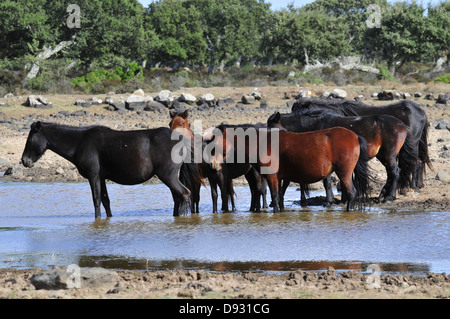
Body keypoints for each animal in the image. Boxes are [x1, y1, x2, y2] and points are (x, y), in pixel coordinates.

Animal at [21, 121, 192, 219]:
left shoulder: (93, 175)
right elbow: (106, 201)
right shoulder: (101, 177)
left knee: (184, 194)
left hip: (167, 175)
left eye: (29, 139)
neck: (79, 143)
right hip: (169, 176)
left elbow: (96, 200)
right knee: (178, 197)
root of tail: (181, 140)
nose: (24, 161)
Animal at [209, 125, 370, 212]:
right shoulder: (281, 178)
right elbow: (280, 197)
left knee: (352, 193)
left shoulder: (272, 177)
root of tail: (355, 136)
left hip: (344, 173)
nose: (213, 165)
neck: (262, 143)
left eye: (215, 144)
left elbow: (275, 197)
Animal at [268, 111, 414, 204]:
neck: (316, 124)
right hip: (382, 155)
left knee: (395, 172)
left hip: (389, 155)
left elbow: (327, 182)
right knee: (391, 173)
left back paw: (389, 197)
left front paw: (329, 201)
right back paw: (382, 195)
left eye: (270, 125)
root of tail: (402, 125)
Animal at [292, 99, 432, 191]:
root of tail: (421, 111)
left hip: (411, 145)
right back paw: (416, 185)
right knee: (419, 162)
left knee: (414, 163)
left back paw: (411, 187)